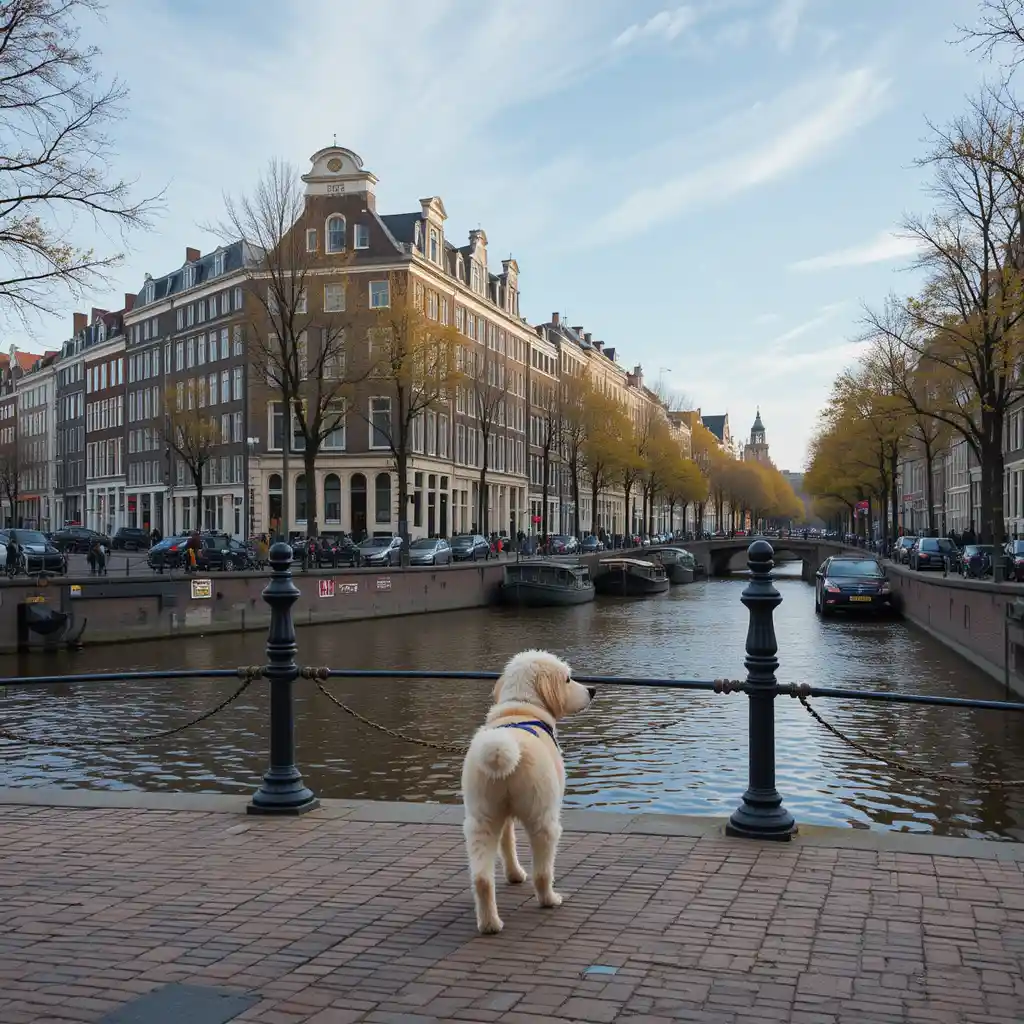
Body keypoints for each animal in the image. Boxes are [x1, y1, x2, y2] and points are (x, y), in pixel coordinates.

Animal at [462, 651, 598, 933]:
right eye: (568, 679)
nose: (592, 690)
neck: (520, 707)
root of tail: (502, 748)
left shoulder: (503, 818)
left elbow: (508, 845)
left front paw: (514, 875)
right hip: (542, 816)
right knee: (543, 871)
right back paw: (550, 899)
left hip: (481, 818)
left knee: (482, 878)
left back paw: (490, 924)